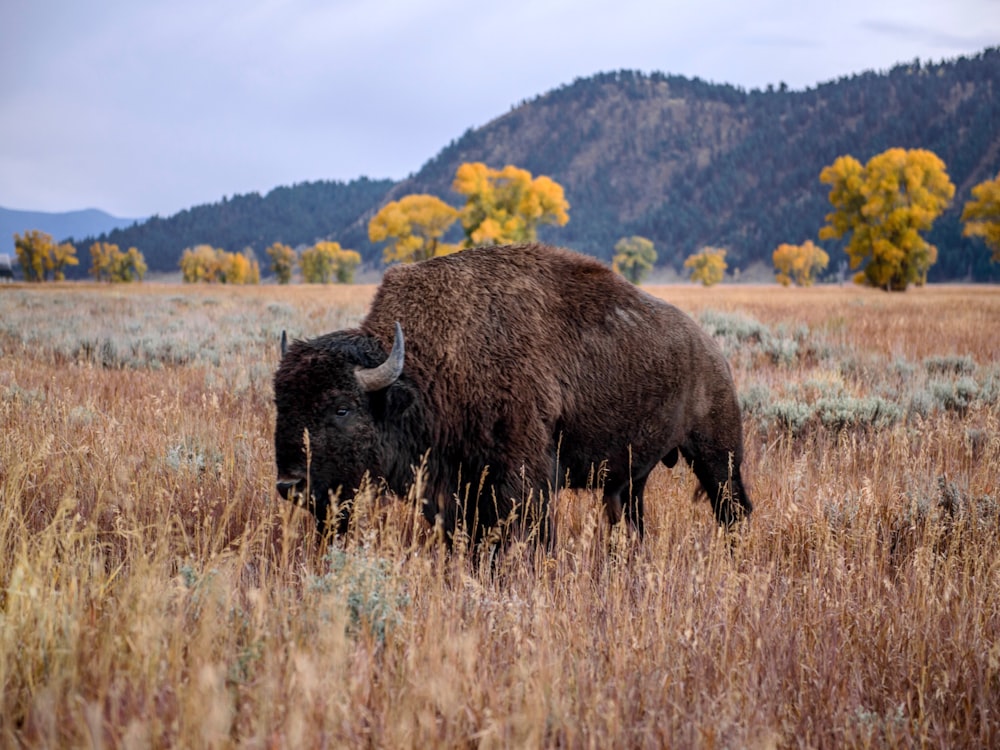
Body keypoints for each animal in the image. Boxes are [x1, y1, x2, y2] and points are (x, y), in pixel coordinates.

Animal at [274, 244, 752, 548]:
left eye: (342, 407)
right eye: (281, 404)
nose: (290, 483)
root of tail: (711, 349)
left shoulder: (522, 481)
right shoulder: (456, 491)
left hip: (718, 456)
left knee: (734, 509)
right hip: (631, 477)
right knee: (631, 518)